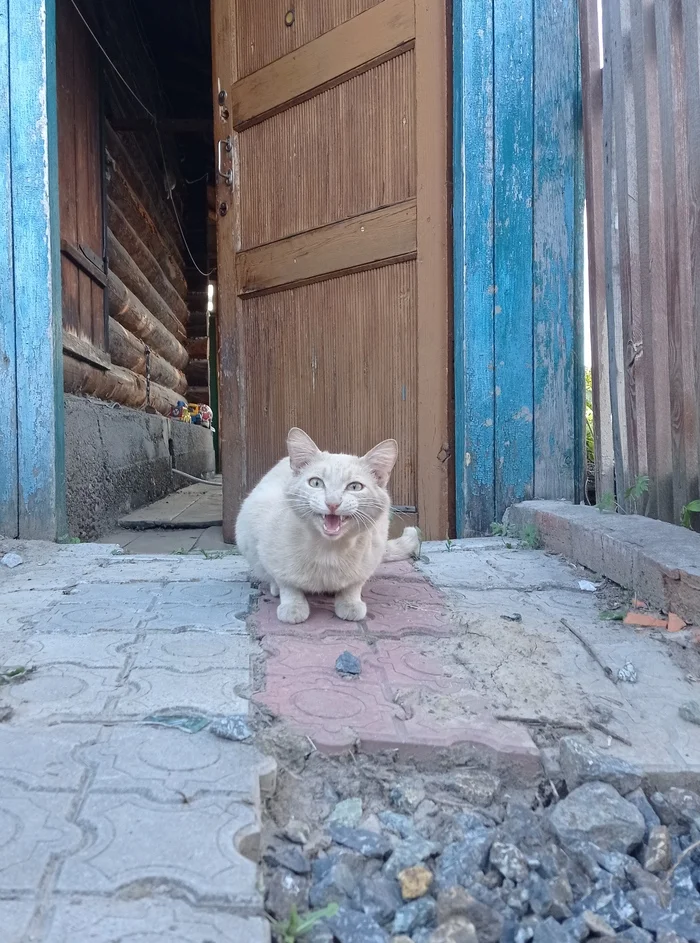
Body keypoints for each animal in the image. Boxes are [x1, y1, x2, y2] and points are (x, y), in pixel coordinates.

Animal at [235, 430, 422, 628]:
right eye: (316, 483)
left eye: (355, 486)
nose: (332, 503)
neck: (329, 549)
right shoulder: (270, 550)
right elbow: (287, 583)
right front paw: (293, 605)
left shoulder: (371, 556)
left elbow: (354, 585)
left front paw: (350, 602)